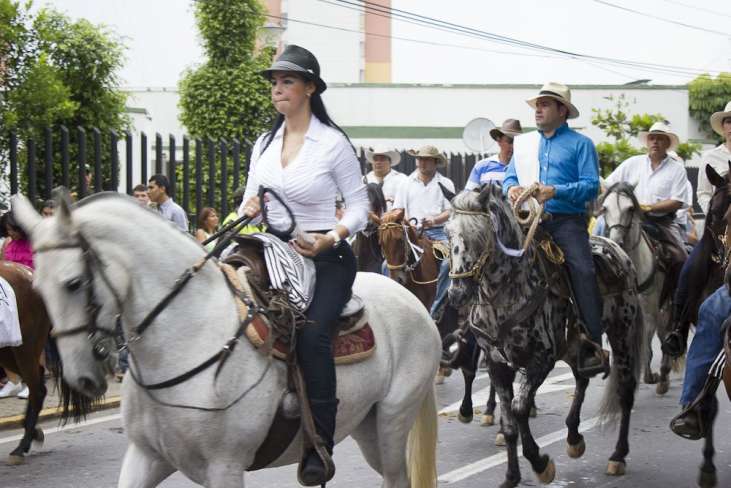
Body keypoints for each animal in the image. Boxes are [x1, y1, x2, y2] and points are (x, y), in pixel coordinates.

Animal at [11, 193, 440, 486]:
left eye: (73, 282)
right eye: (36, 286)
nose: (80, 377)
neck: (186, 339)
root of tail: (413, 303)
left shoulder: (225, 467)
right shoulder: (145, 457)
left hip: (392, 421)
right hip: (368, 427)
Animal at [600, 184, 676, 396]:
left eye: (630, 208)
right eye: (605, 208)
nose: (616, 241)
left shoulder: (649, 310)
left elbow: (646, 343)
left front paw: (652, 376)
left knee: (665, 332)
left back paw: (664, 375)